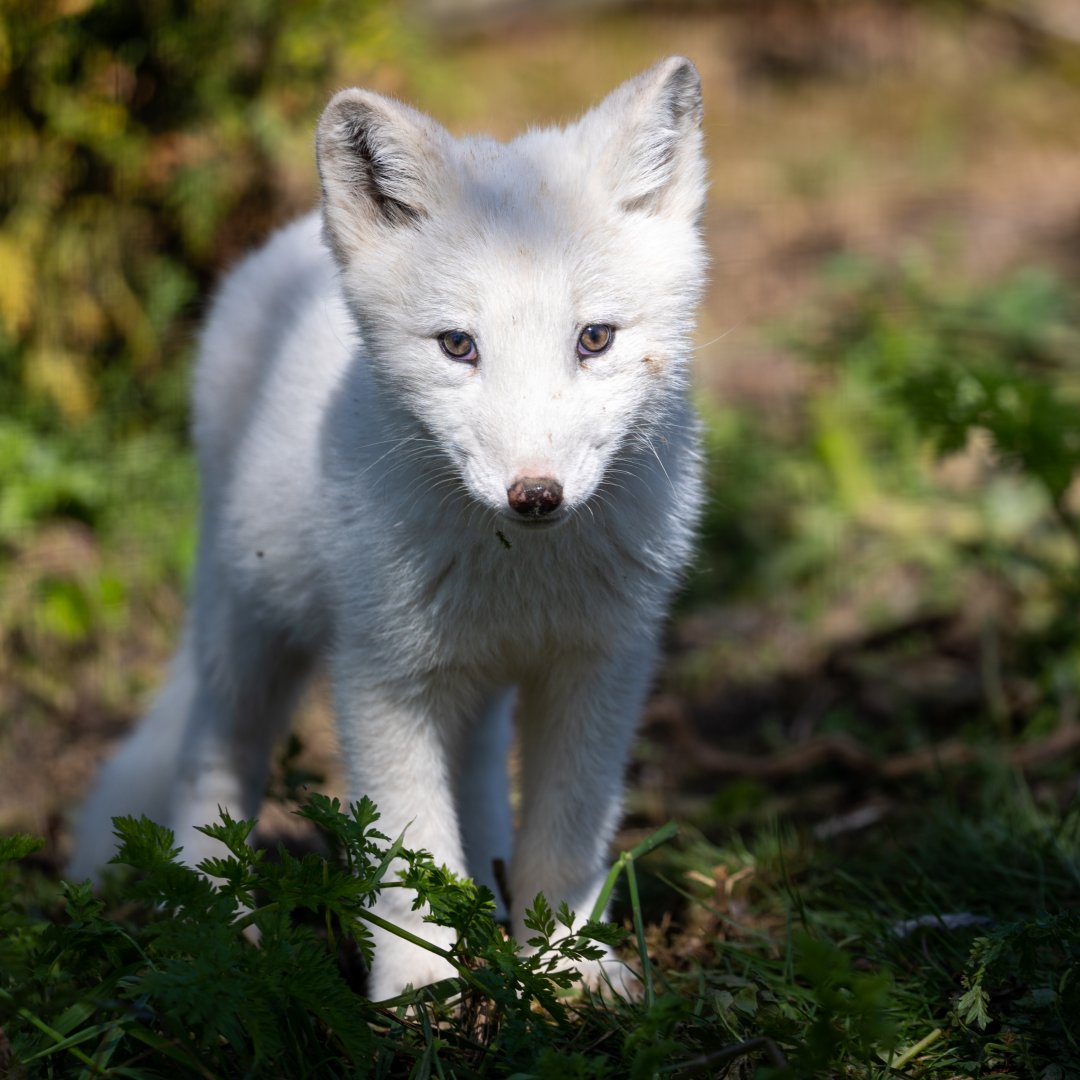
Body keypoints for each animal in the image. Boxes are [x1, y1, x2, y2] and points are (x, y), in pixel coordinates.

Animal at [69, 56, 709, 998]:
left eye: (595, 339)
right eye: (457, 346)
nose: (535, 495)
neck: (519, 574)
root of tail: (287, 242)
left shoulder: (601, 666)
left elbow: (566, 840)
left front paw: (563, 970)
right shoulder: (381, 675)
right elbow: (408, 856)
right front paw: (420, 994)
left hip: (469, 683)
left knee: (477, 779)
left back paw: (490, 898)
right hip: (247, 628)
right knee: (211, 766)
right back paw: (214, 926)